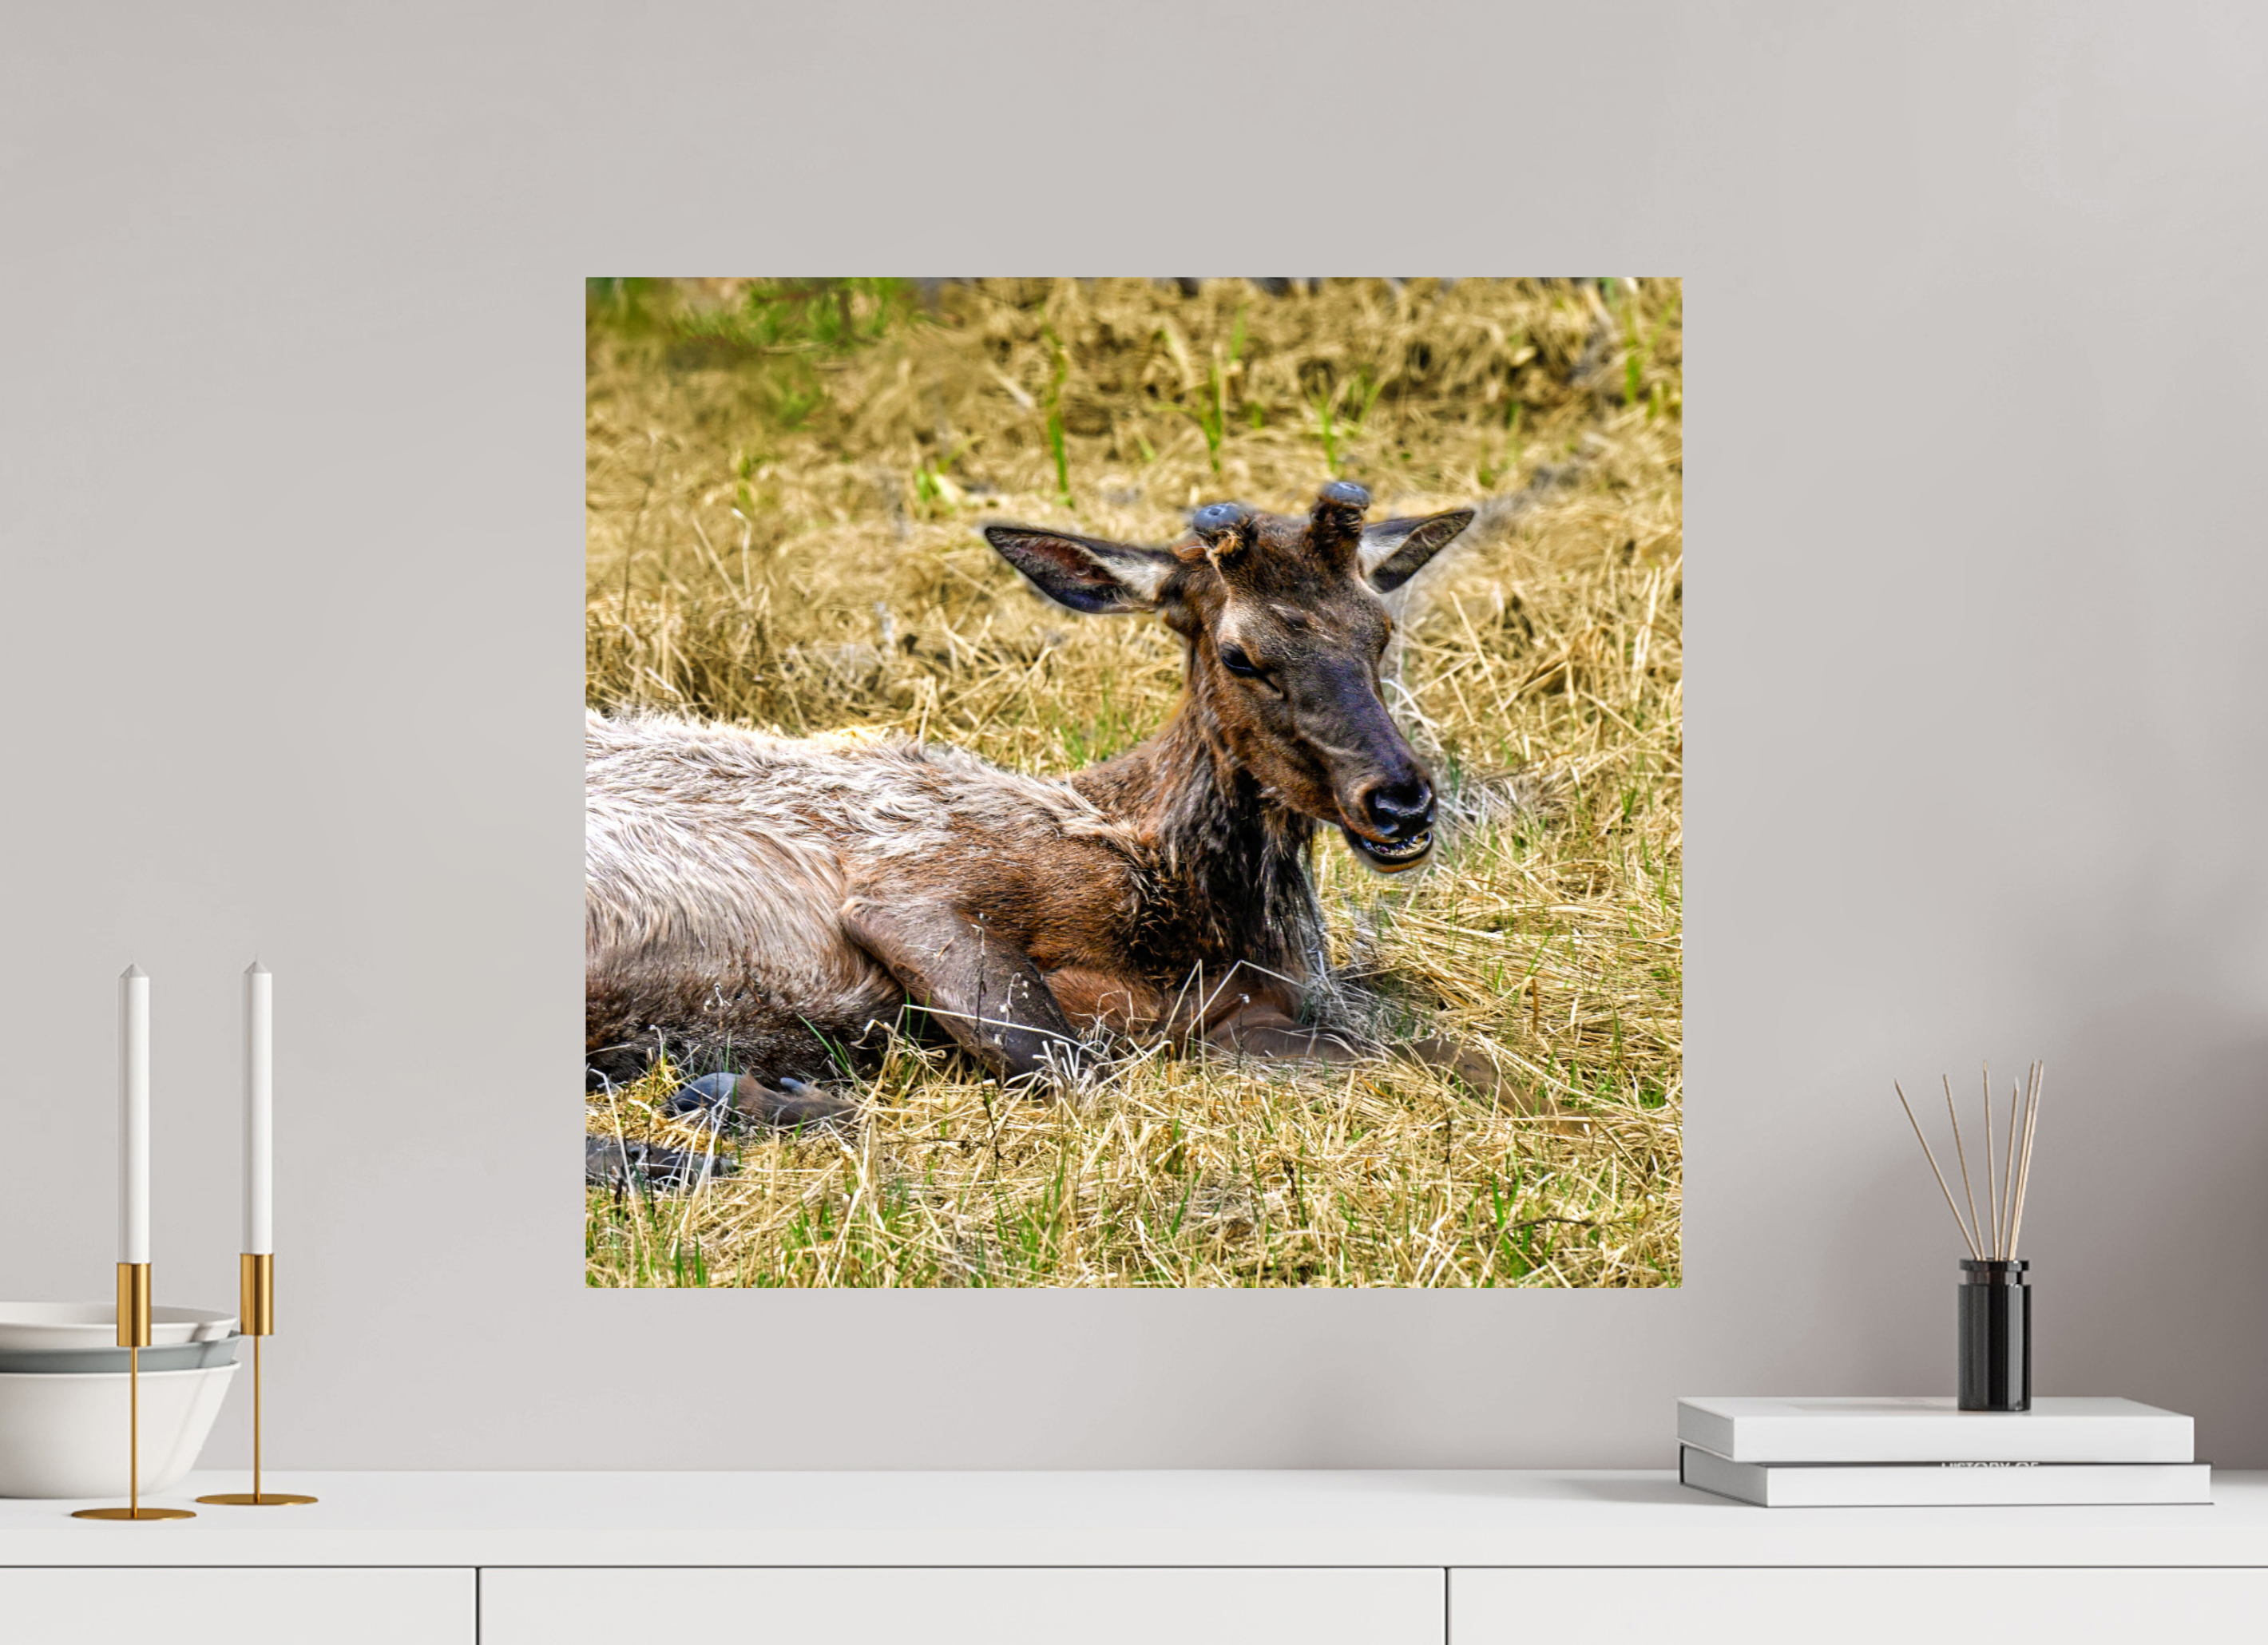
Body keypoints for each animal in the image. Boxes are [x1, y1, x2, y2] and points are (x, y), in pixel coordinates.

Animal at [585, 480, 1538, 1170]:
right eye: (1241, 654)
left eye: (1378, 632)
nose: (1401, 802)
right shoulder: (908, 893)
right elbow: (1079, 1065)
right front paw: (742, 1092)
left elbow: (1462, 1051)